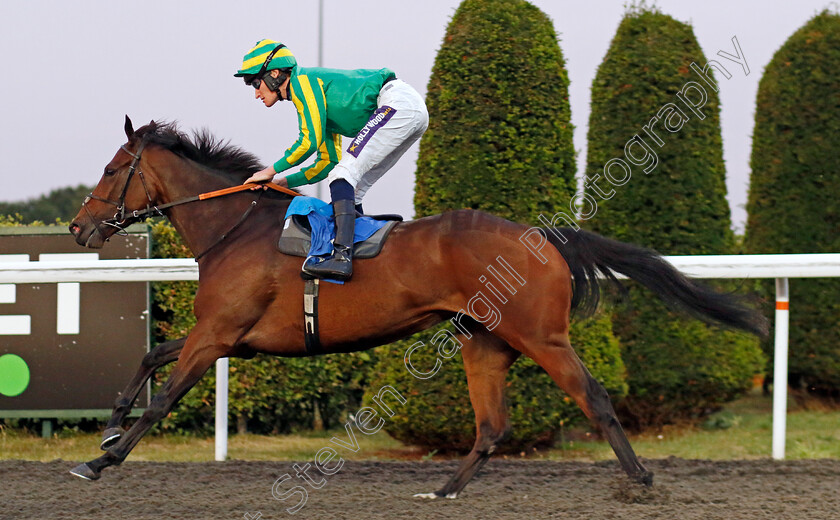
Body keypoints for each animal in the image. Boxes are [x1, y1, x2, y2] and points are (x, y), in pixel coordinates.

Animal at [69, 116, 772, 498]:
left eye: (109, 169)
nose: (78, 228)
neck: (233, 228)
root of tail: (541, 235)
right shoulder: (227, 335)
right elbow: (151, 356)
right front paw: (109, 425)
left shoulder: (218, 333)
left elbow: (164, 397)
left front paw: (101, 460)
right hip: (484, 340)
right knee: (492, 424)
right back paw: (443, 488)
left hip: (541, 337)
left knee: (593, 398)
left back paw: (641, 480)